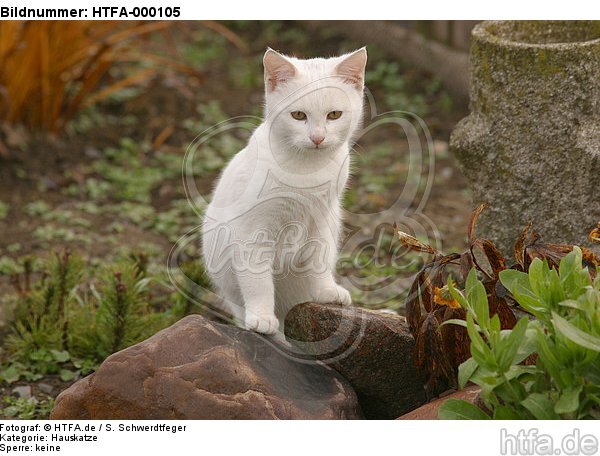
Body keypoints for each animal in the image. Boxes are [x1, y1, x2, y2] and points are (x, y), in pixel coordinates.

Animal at [204, 48, 368, 336]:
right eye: (299, 116)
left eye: (334, 115)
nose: (317, 138)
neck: (306, 167)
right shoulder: (252, 230)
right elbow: (257, 278)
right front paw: (261, 316)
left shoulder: (322, 219)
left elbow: (320, 258)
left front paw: (326, 289)